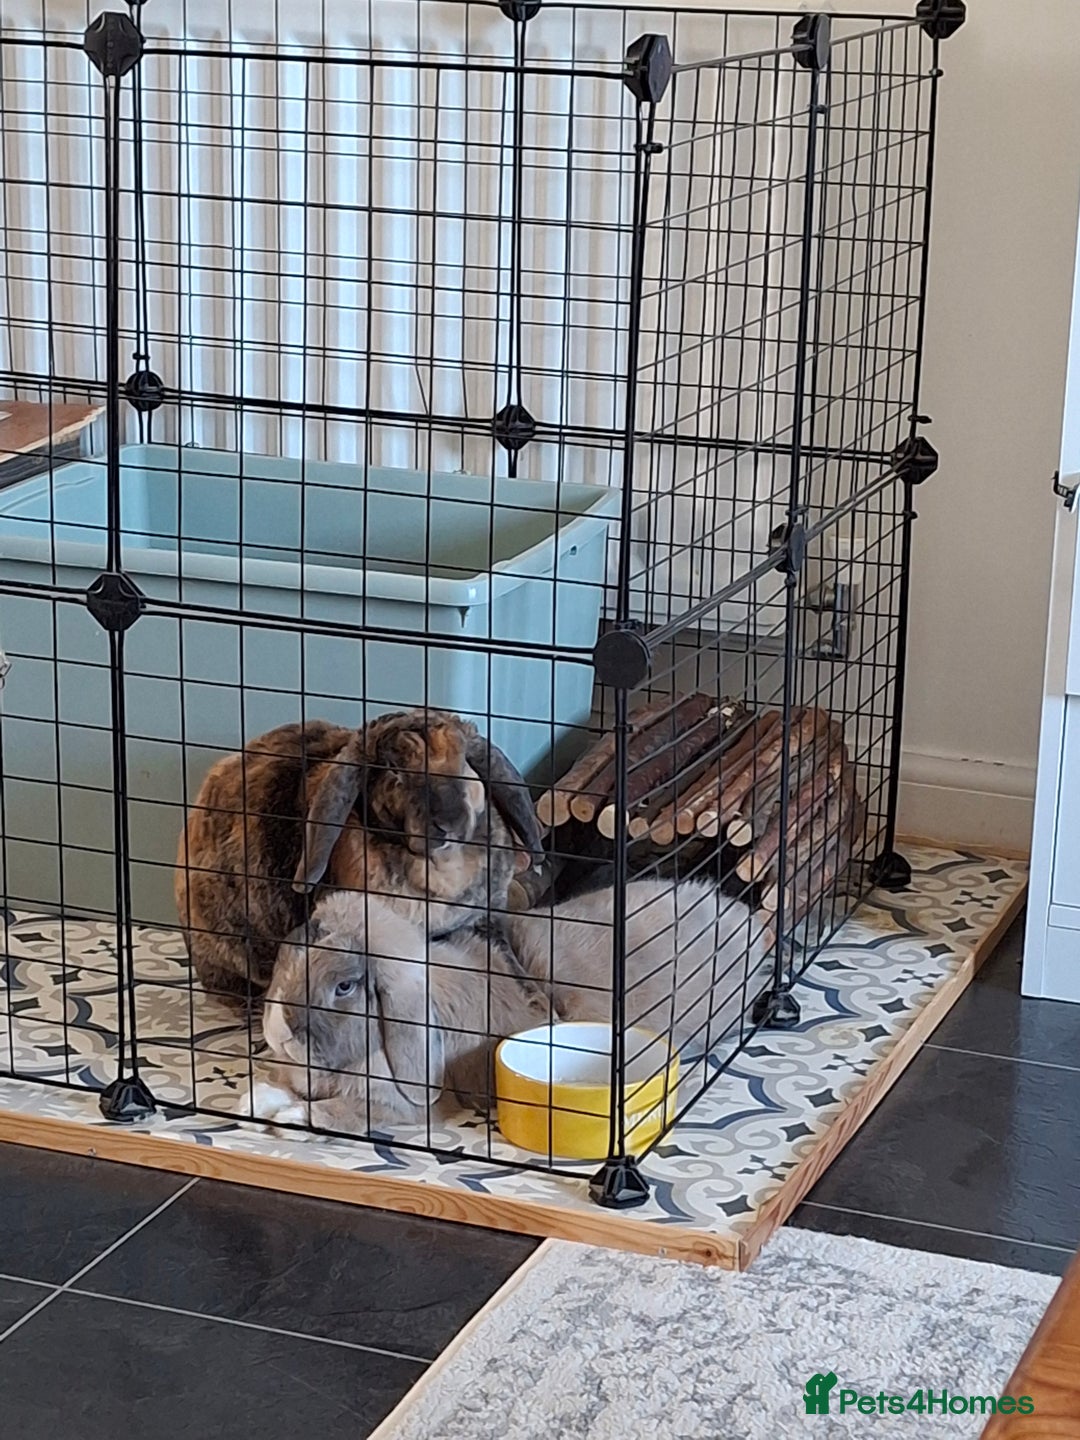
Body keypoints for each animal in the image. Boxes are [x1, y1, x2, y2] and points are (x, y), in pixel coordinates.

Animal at [253, 877, 771, 1136]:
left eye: (344, 986)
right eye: (291, 954)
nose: (279, 1031)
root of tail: (744, 921)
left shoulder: (400, 1105)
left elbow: (345, 1111)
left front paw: (290, 1118)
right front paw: (259, 1099)